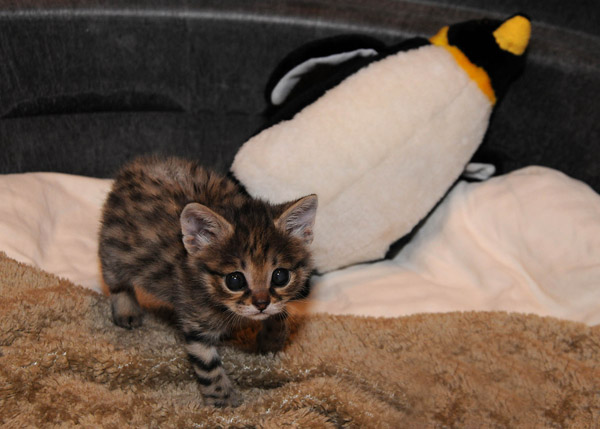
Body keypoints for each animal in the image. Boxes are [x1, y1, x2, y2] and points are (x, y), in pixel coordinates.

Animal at [97, 155, 318, 406]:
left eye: (280, 276)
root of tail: (136, 166)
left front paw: (272, 339)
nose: (261, 304)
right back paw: (126, 310)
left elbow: (280, 312)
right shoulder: (195, 321)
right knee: (115, 280)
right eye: (235, 280)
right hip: (114, 248)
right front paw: (225, 401)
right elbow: (208, 367)